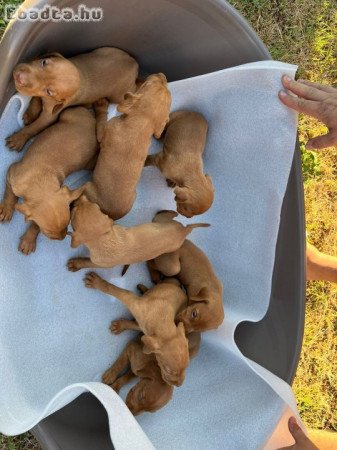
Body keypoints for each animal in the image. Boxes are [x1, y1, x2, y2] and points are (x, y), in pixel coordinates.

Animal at [0, 106, 97, 253]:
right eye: (48, 232)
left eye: (68, 223)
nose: (63, 238)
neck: (39, 184)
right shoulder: (12, 173)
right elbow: (10, 195)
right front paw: (6, 210)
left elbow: (34, 225)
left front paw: (29, 239)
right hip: (69, 114)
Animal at [6, 48, 138, 151]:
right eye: (44, 62)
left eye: (49, 91)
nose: (19, 77)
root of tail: (134, 64)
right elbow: (35, 98)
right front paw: (30, 114)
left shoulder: (50, 114)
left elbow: (35, 127)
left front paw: (19, 138)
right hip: (105, 50)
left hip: (118, 96)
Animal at [66, 200, 207, 270]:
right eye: (95, 205)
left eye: (73, 212)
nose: (76, 201)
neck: (104, 239)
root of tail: (184, 230)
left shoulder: (100, 264)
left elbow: (87, 262)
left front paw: (76, 264)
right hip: (163, 221)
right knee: (174, 214)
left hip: (160, 222)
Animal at [83, 73, 172, 221]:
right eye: (156, 82)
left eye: (147, 84)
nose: (162, 74)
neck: (142, 124)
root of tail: (109, 214)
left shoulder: (103, 132)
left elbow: (101, 119)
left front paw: (101, 104)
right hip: (134, 196)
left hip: (87, 186)